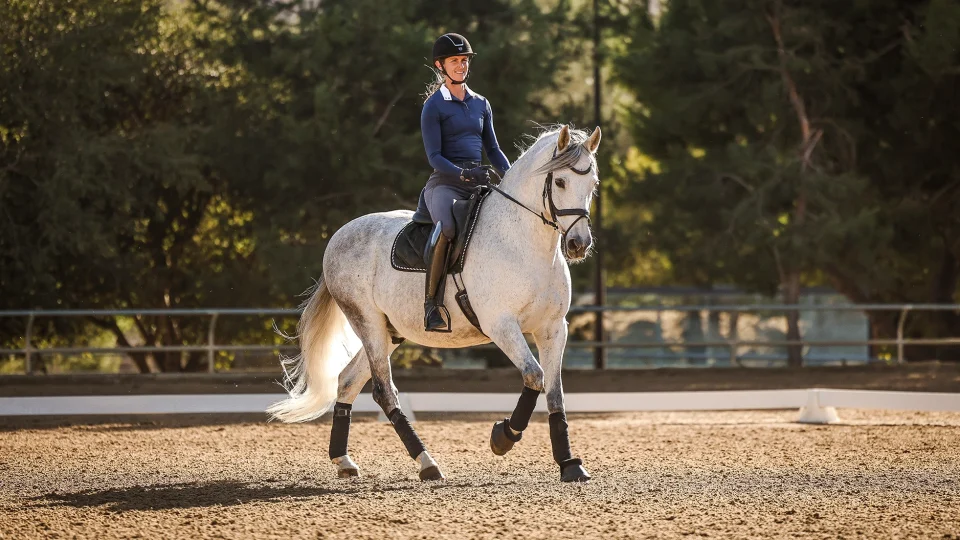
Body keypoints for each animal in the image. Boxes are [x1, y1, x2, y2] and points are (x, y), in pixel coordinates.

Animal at [268, 124, 601, 483]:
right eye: (560, 182)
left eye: (592, 184)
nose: (578, 244)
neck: (524, 242)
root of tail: (338, 236)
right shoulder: (501, 326)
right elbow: (534, 377)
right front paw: (502, 437)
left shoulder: (553, 328)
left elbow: (554, 391)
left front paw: (569, 464)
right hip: (367, 323)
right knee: (383, 391)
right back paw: (427, 462)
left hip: (389, 332)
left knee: (347, 381)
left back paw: (343, 460)